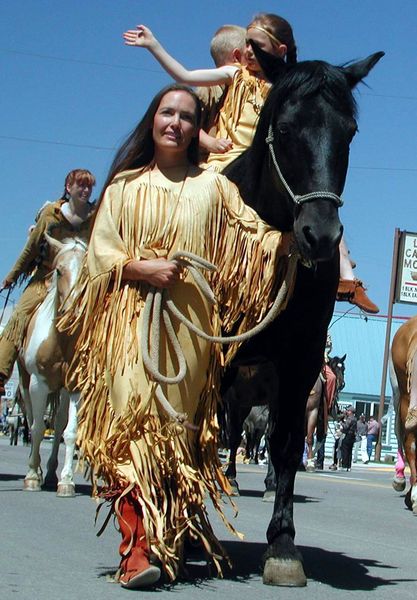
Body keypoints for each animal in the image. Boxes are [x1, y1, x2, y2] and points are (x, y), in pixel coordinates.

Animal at [17, 237, 86, 500]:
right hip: (25, 383)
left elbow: (70, 431)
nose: (74, 311)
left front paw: (66, 482)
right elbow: (37, 429)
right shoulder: (38, 383)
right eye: (58, 270)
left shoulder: (75, 385)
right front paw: (31, 477)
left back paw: (49, 474)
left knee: (57, 425)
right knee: (31, 420)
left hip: (63, 389)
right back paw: (35, 469)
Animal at [224, 43, 384, 584]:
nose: (321, 233)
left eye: (349, 132)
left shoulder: (299, 363)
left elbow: (289, 446)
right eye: (287, 128)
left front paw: (283, 544)